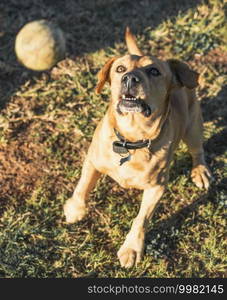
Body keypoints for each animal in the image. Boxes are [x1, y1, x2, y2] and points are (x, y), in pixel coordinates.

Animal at [63, 27, 211, 268]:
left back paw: (200, 171)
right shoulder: (92, 161)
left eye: (154, 71)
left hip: (193, 128)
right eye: (119, 69)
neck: (131, 139)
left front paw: (131, 248)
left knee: (197, 151)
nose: (129, 78)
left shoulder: (156, 188)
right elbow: (82, 186)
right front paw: (75, 210)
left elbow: (141, 219)